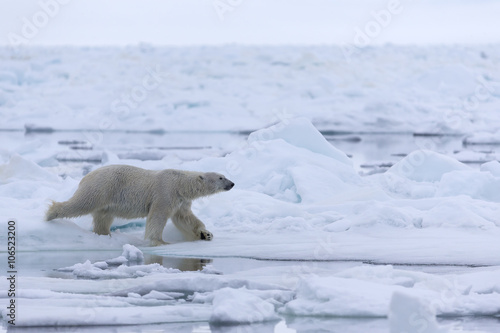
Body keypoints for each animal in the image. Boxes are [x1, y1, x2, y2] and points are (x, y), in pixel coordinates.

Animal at [46, 165, 233, 245]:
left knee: (103, 218)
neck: (181, 183)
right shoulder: (165, 193)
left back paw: (105, 235)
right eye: (221, 177)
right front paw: (159, 241)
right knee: (82, 203)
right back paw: (50, 214)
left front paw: (205, 234)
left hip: (106, 201)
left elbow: (186, 218)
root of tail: (86, 176)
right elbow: (157, 217)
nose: (232, 183)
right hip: (101, 188)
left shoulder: (181, 200)